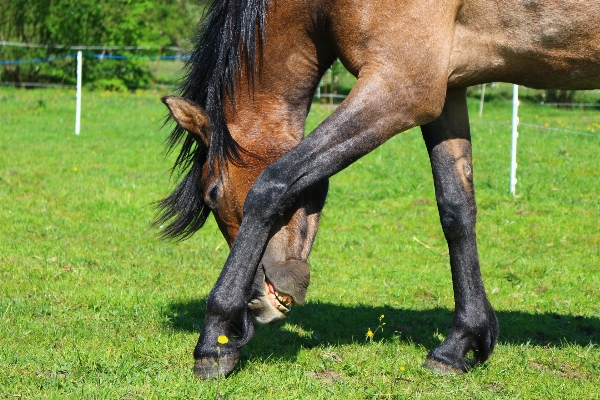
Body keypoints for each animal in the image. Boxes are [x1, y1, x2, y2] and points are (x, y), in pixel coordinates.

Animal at [156, 0, 600, 380]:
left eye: (213, 193)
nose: (256, 303)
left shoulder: (401, 88)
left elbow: (272, 184)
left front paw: (214, 340)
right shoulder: (447, 91)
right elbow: (456, 210)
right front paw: (460, 343)